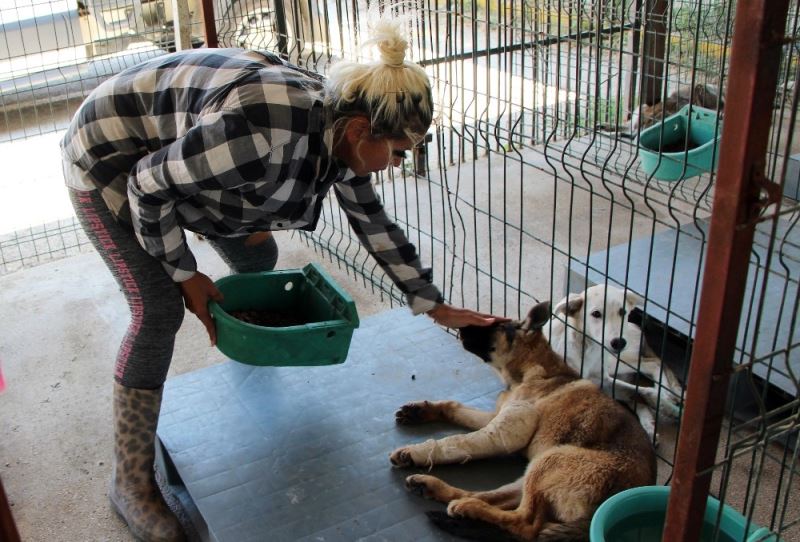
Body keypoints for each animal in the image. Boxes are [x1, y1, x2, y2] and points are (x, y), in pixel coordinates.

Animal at [389, 302, 657, 541]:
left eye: (496, 326)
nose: (461, 325)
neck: (531, 368)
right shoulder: (495, 415)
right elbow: (453, 407)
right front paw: (421, 412)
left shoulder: (502, 432)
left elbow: (458, 441)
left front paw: (414, 451)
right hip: (535, 471)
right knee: (490, 497)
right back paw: (436, 489)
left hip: (551, 460)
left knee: (525, 523)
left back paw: (470, 509)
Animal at [545, 284, 683, 443]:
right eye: (596, 314)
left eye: (622, 311)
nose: (619, 342)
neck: (586, 347)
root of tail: (635, 326)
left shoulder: (602, 379)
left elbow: (641, 390)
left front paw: (668, 407)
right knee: (651, 367)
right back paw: (650, 423)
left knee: (654, 364)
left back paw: (667, 395)